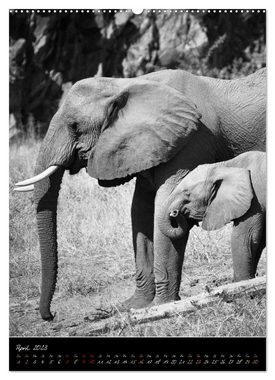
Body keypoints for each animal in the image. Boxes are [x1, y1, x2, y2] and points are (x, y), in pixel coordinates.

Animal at [160, 151, 268, 282]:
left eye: (187, 193)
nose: (174, 212)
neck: (226, 166)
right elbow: (259, 240)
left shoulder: (254, 200)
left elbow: (246, 237)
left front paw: (242, 281)